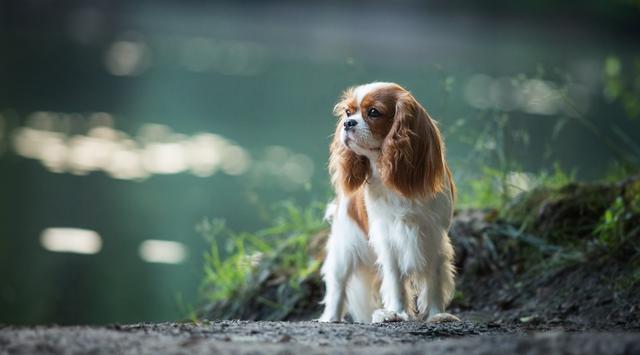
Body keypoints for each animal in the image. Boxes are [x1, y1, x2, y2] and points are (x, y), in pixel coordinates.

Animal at [318, 82, 458, 324]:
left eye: (374, 112)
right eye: (348, 112)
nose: (347, 123)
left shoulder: (432, 235)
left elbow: (434, 279)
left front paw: (436, 314)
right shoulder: (388, 237)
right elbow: (395, 279)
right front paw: (396, 313)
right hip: (345, 244)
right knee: (337, 284)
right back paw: (331, 318)